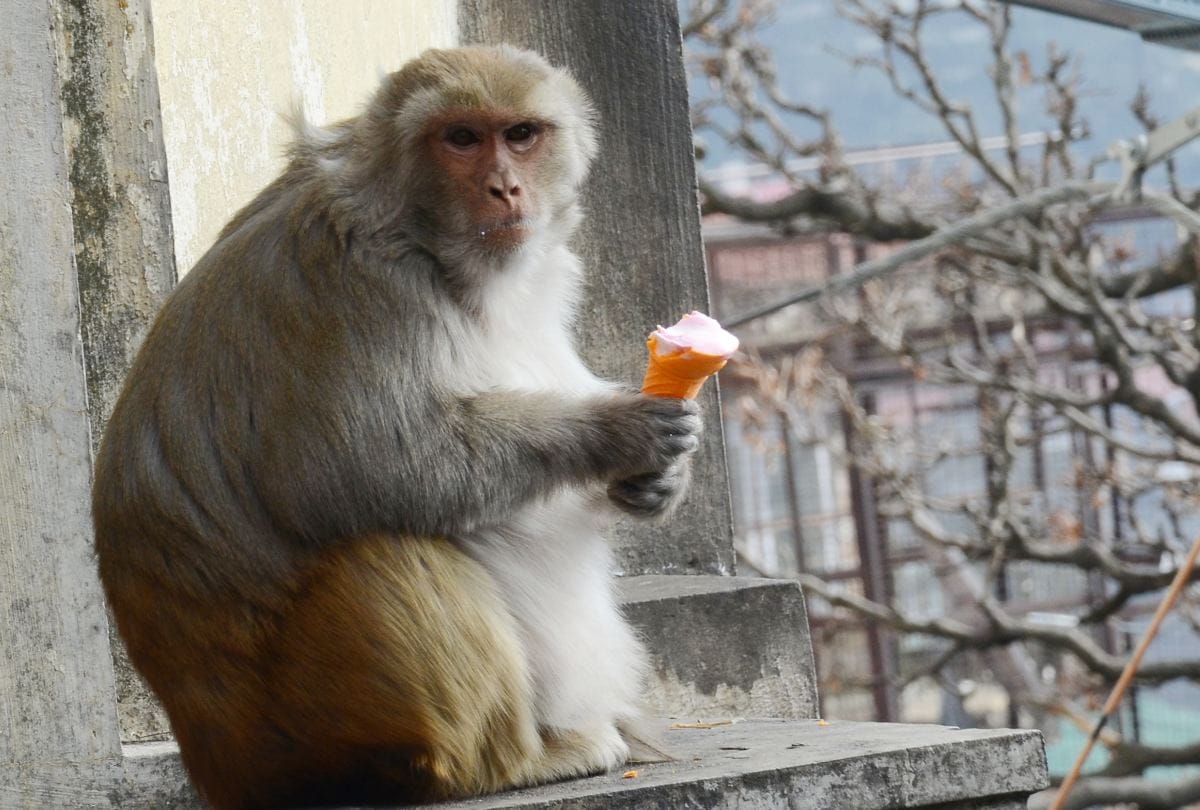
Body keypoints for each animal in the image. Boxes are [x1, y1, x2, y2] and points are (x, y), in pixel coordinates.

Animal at [91, 45, 702, 809]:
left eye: (521, 134)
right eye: (462, 138)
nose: (505, 187)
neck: (428, 241)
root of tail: (217, 764)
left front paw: (658, 481)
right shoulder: (359, 280)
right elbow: (375, 467)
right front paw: (615, 432)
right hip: (303, 737)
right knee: (385, 551)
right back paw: (505, 764)